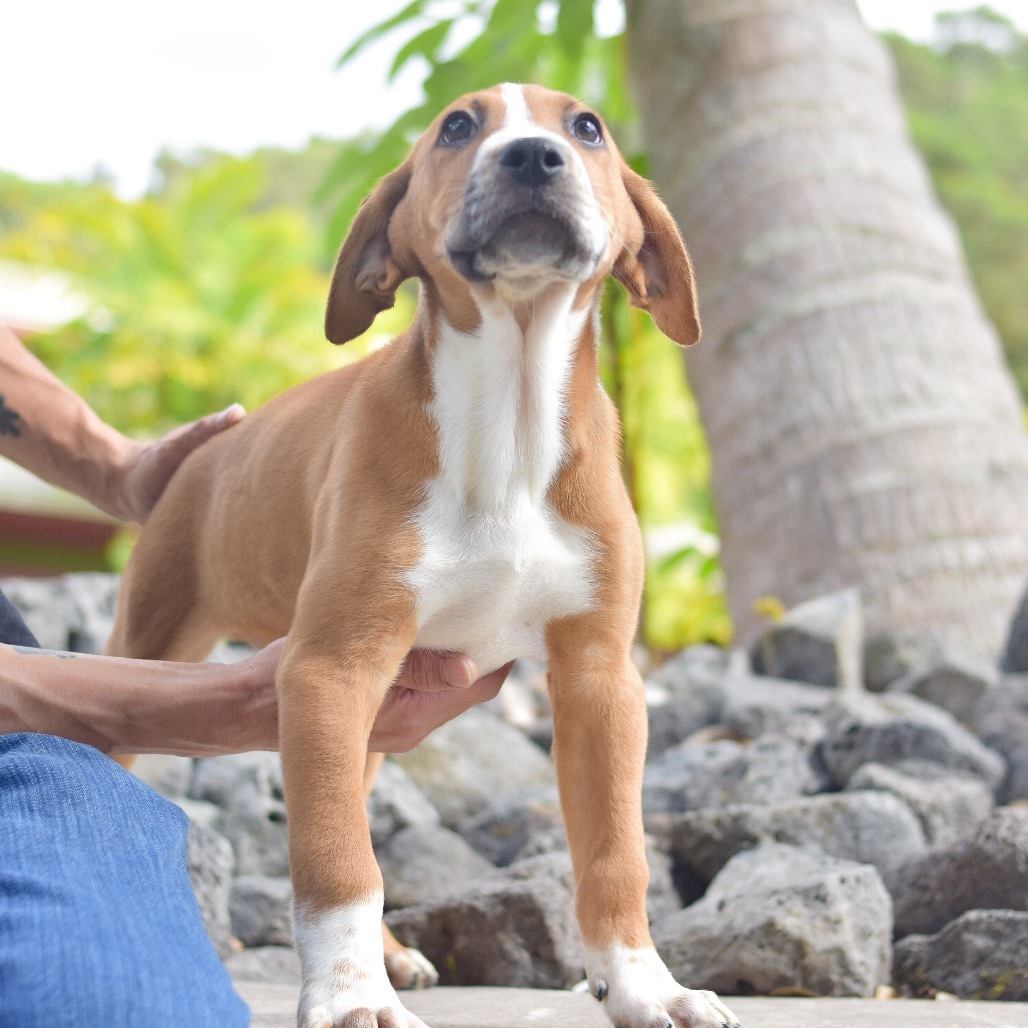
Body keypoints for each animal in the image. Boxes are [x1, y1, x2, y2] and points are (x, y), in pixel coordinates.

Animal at [108, 86, 740, 1028]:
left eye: (586, 126)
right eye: (458, 127)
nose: (532, 158)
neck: (510, 422)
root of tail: (196, 458)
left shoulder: (600, 680)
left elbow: (616, 856)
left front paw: (643, 986)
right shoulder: (331, 668)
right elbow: (336, 858)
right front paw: (347, 999)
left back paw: (395, 955)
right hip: (159, 645)